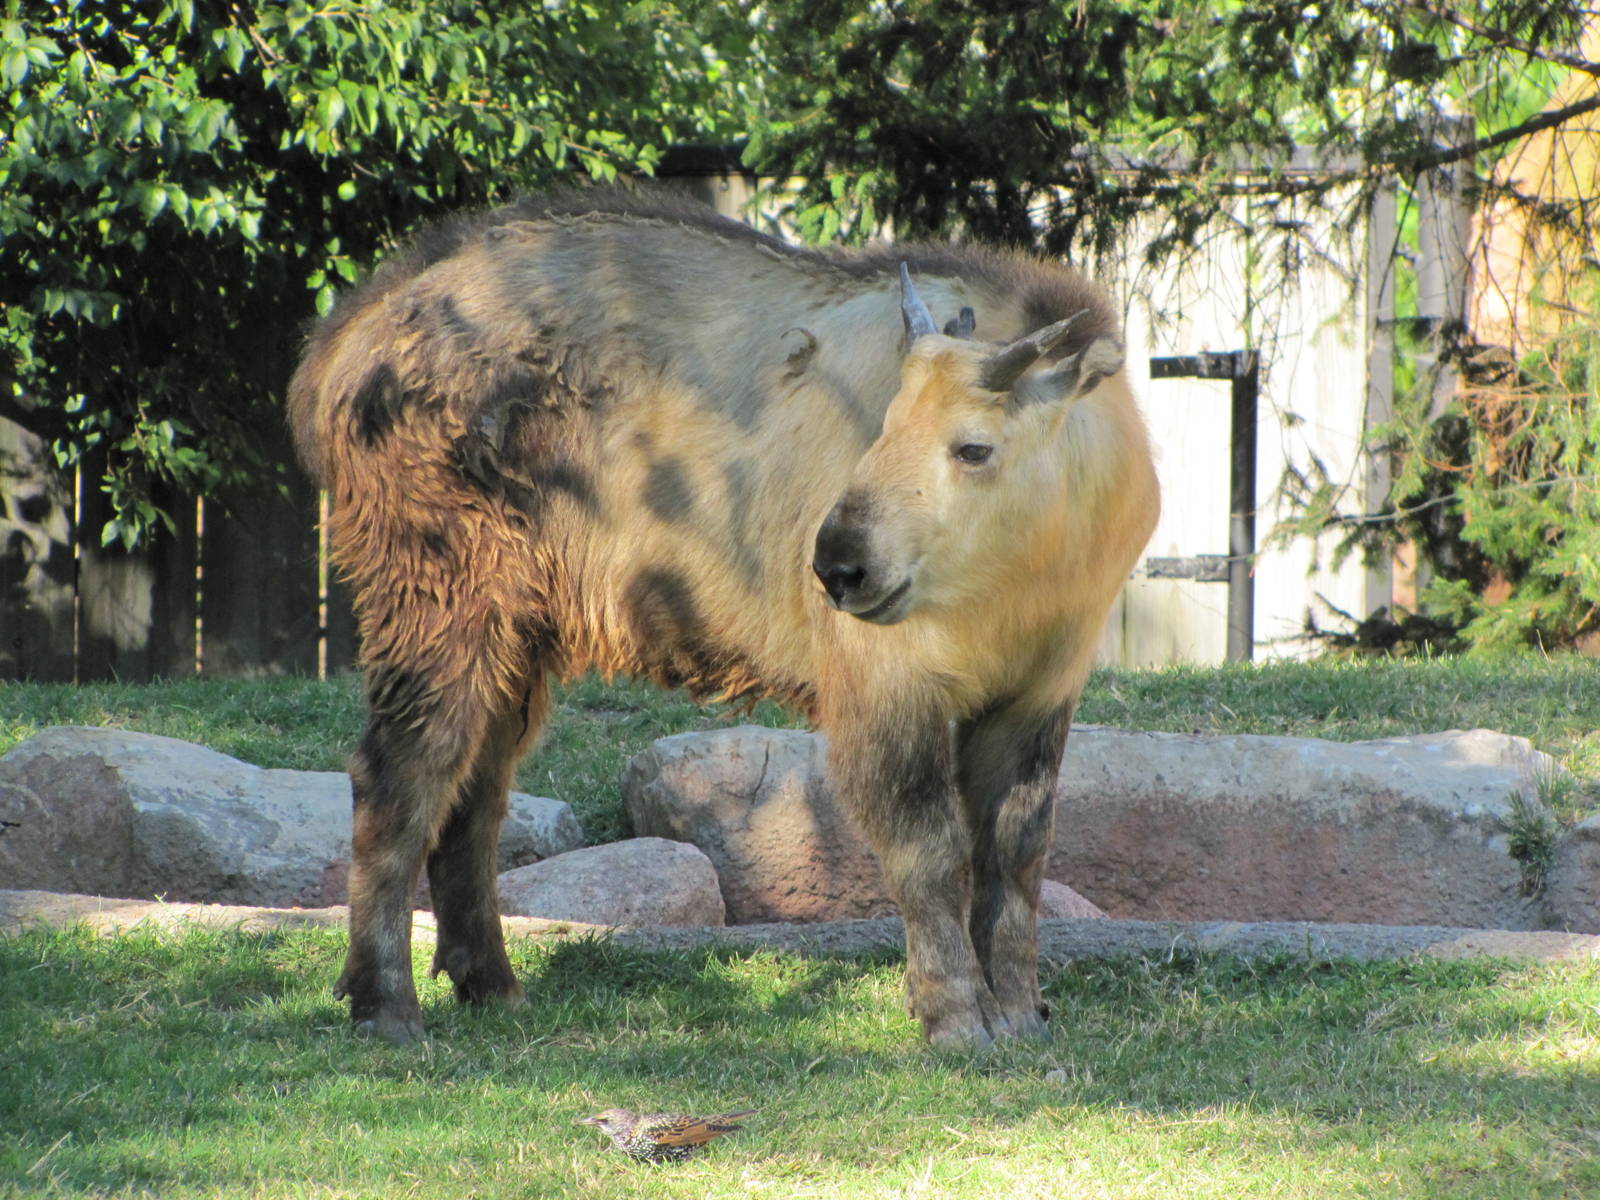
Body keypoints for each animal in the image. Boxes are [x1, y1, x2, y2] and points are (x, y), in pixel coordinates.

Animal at [288, 186, 1159, 1049]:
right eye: (879, 428)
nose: (837, 566)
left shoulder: (1038, 694)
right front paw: (954, 1014)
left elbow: (1016, 856)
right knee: (399, 779)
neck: (1019, 572)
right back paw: (385, 1004)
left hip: (515, 639)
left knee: (474, 798)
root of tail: (351, 333)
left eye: (973, 448)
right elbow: (930, 853)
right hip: (438, 602)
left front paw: (1017, 1010)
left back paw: (492, 986)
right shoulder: (886, 686)